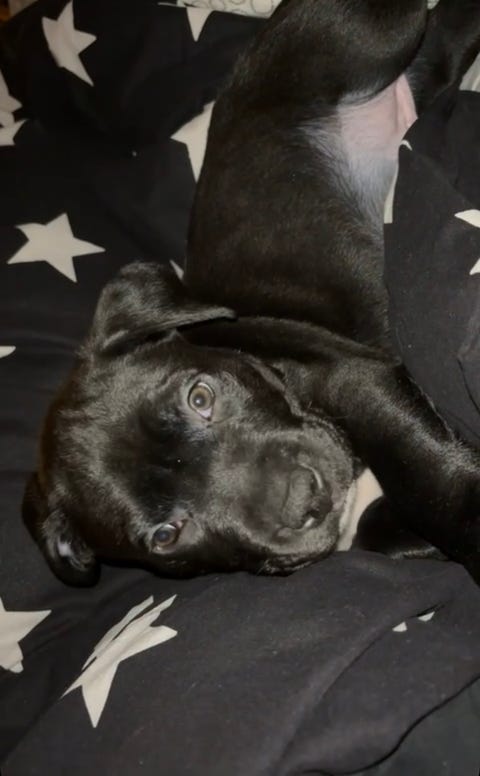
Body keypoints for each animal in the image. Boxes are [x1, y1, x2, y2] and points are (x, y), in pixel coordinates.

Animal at [23, 0, 480, 585]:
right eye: (166, 535)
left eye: (200, 397)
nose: (304, 499)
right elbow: (376, 528)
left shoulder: (356, 376)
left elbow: (424, 475)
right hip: (425, 67)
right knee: (448, 38)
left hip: (372, 35)